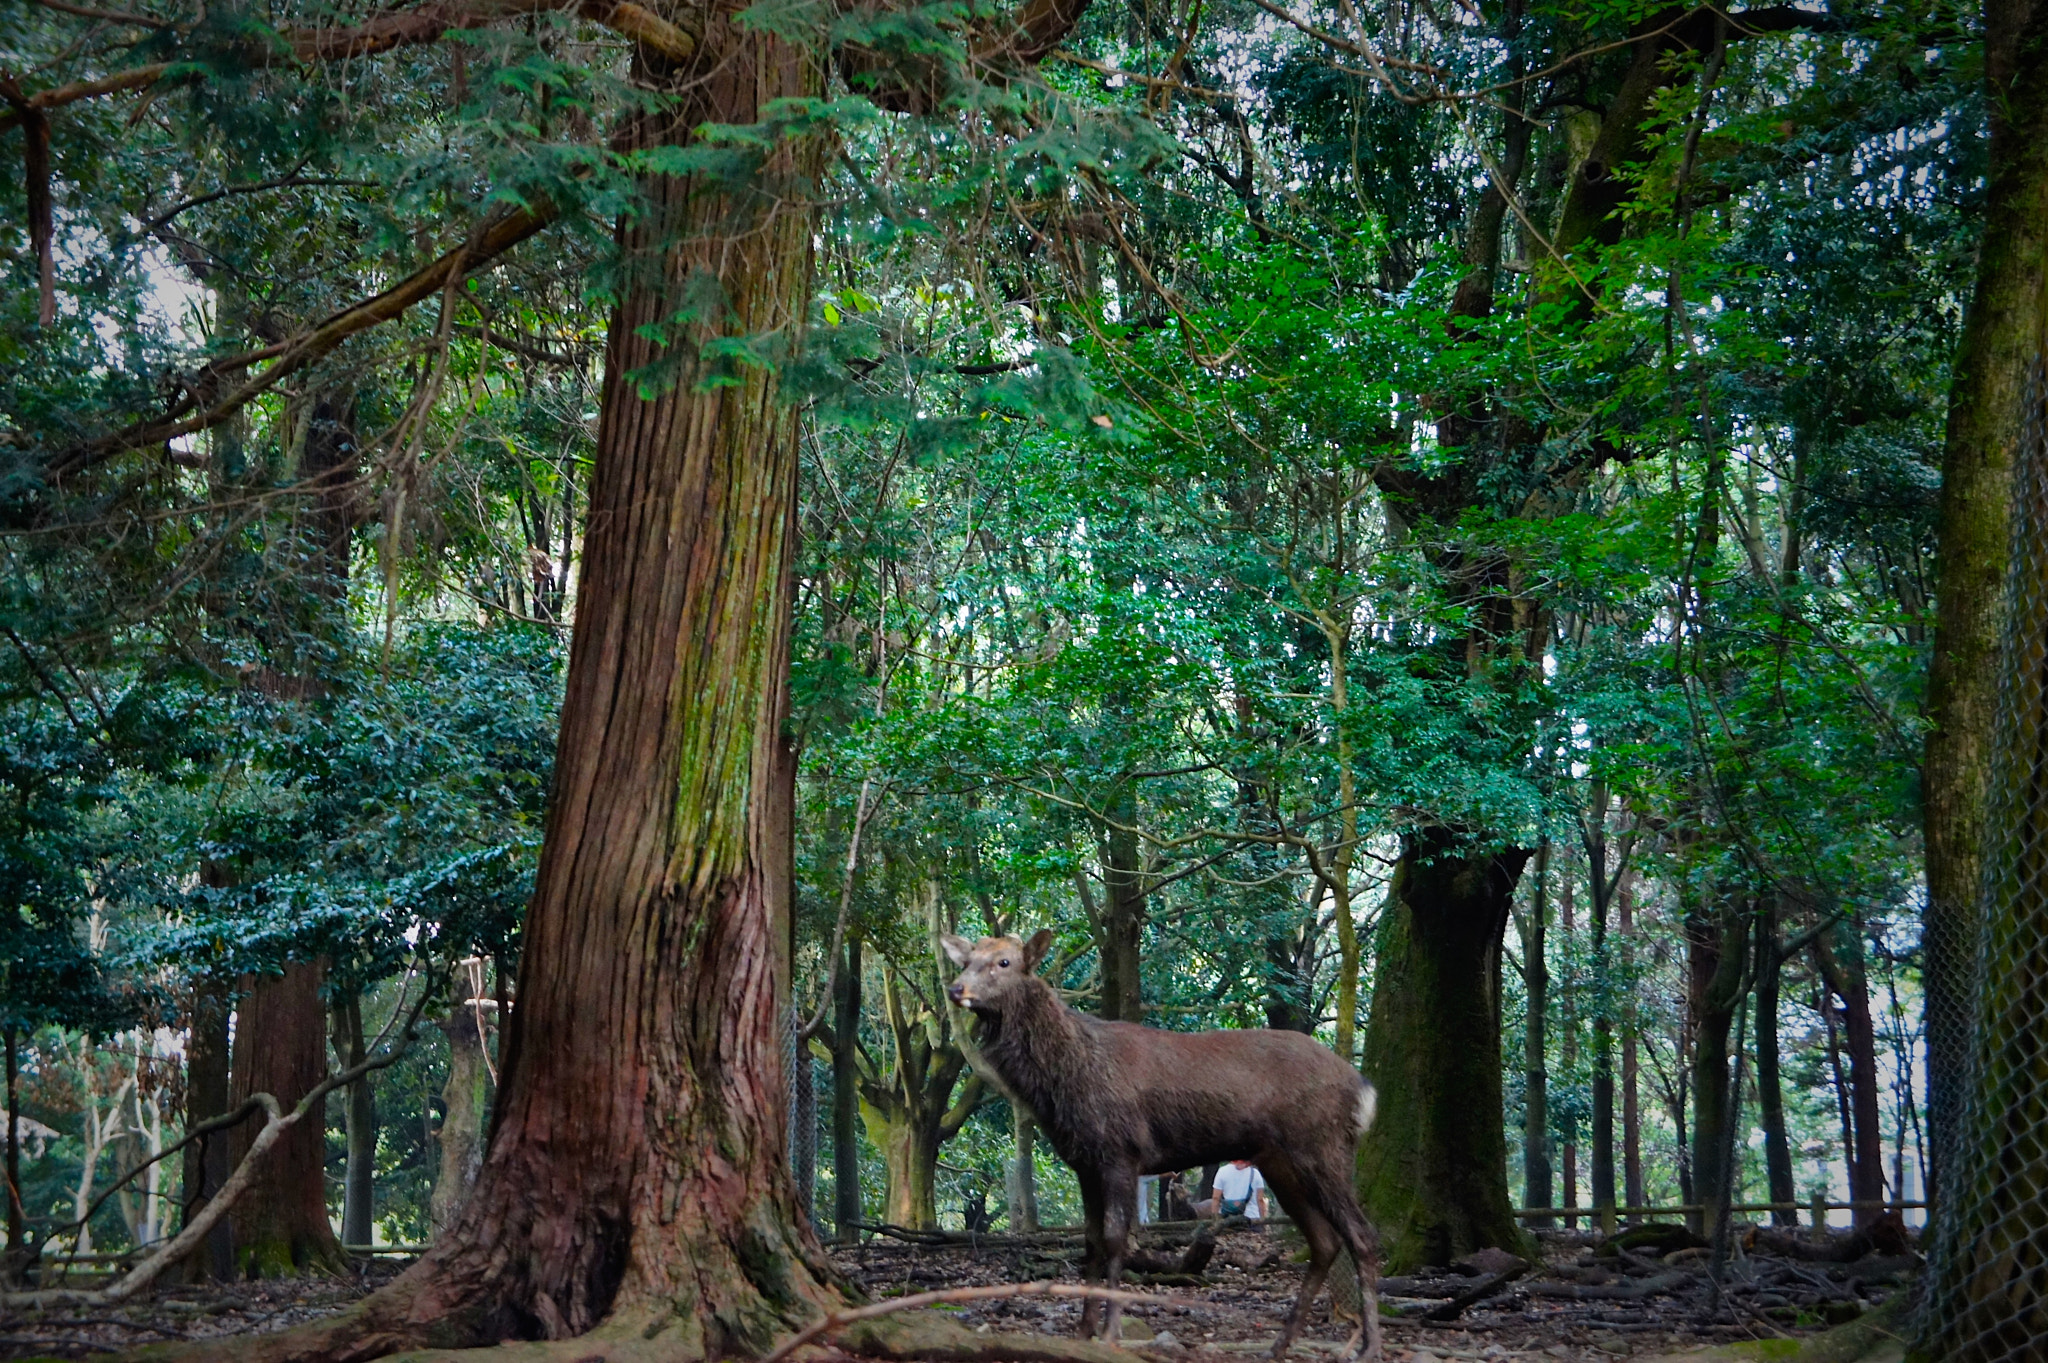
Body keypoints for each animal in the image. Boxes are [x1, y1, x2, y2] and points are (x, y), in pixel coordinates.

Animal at [942, 925, 1392, 1358]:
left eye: (1004, 961)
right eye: (967, 958)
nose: (955, 988)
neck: (1067, 1082)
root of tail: (1364, 1089)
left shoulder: (1122, 1151)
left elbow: (1116, 1240)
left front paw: (1110, 1333)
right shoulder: (1085, 1161)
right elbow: (1089, 1242)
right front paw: (1082, 1330)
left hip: (1322, 1146)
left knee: (1363, 1235)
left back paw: (1368, 1346)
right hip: (1279, 1161)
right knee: (1324, 1240)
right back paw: (1279, 1345)